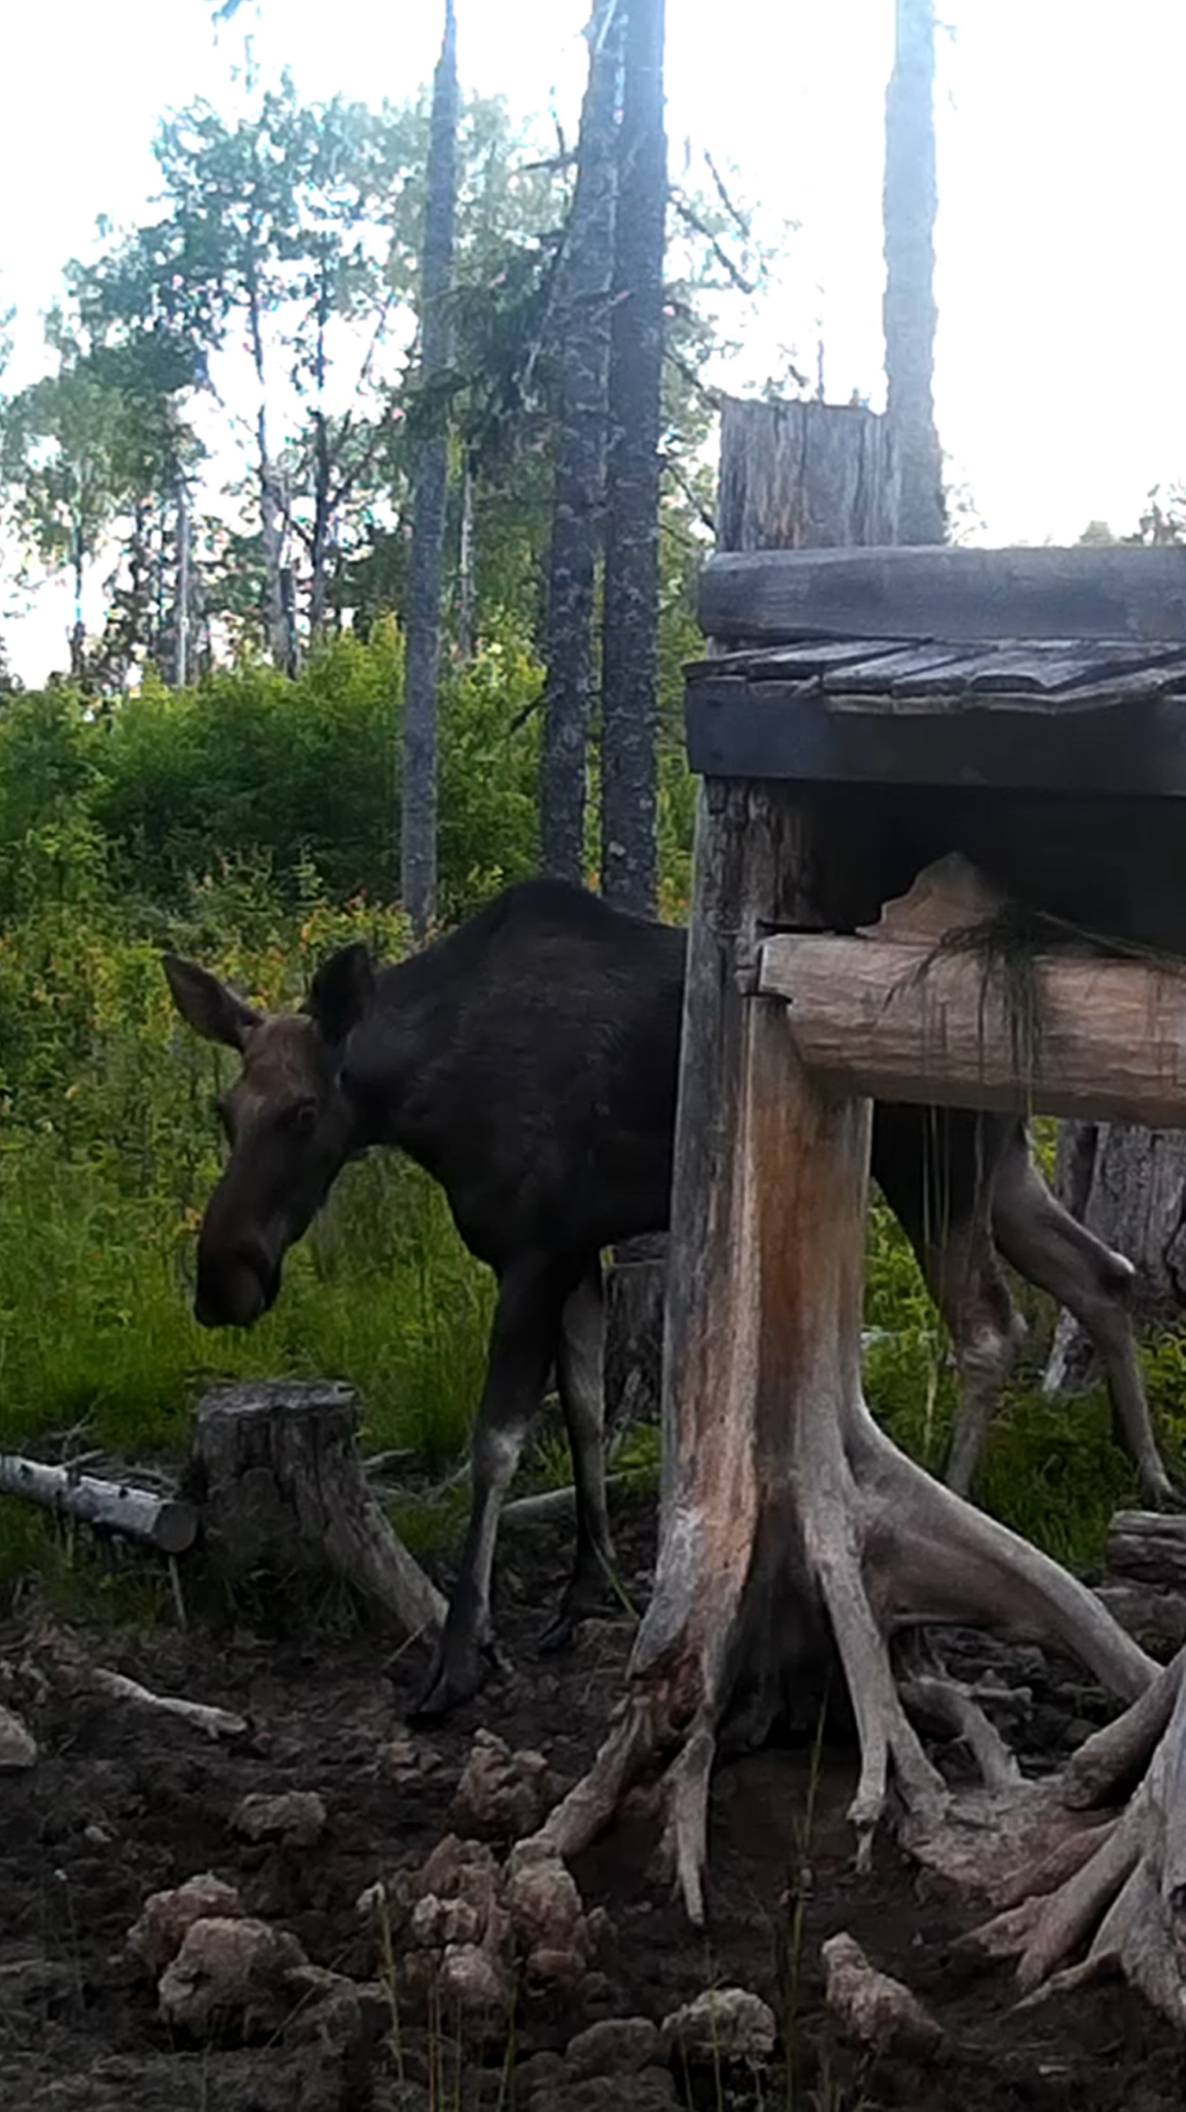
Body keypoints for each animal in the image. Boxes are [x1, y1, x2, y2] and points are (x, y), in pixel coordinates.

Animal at [166, 874, 1173, 1714]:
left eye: (304, 1113)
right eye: (225, 1111)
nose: (224, 1281)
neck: (423, 1100)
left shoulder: (532, 1251)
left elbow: (497, 1444)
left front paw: (458, 1659)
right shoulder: (577, 1249)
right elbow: (582, 1409)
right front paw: (584, 1593)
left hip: (936, 1166)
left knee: (991, 1327)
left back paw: (948, 1537)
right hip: (1000, 1166)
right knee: (1103, 1275)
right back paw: (1154, 1475)